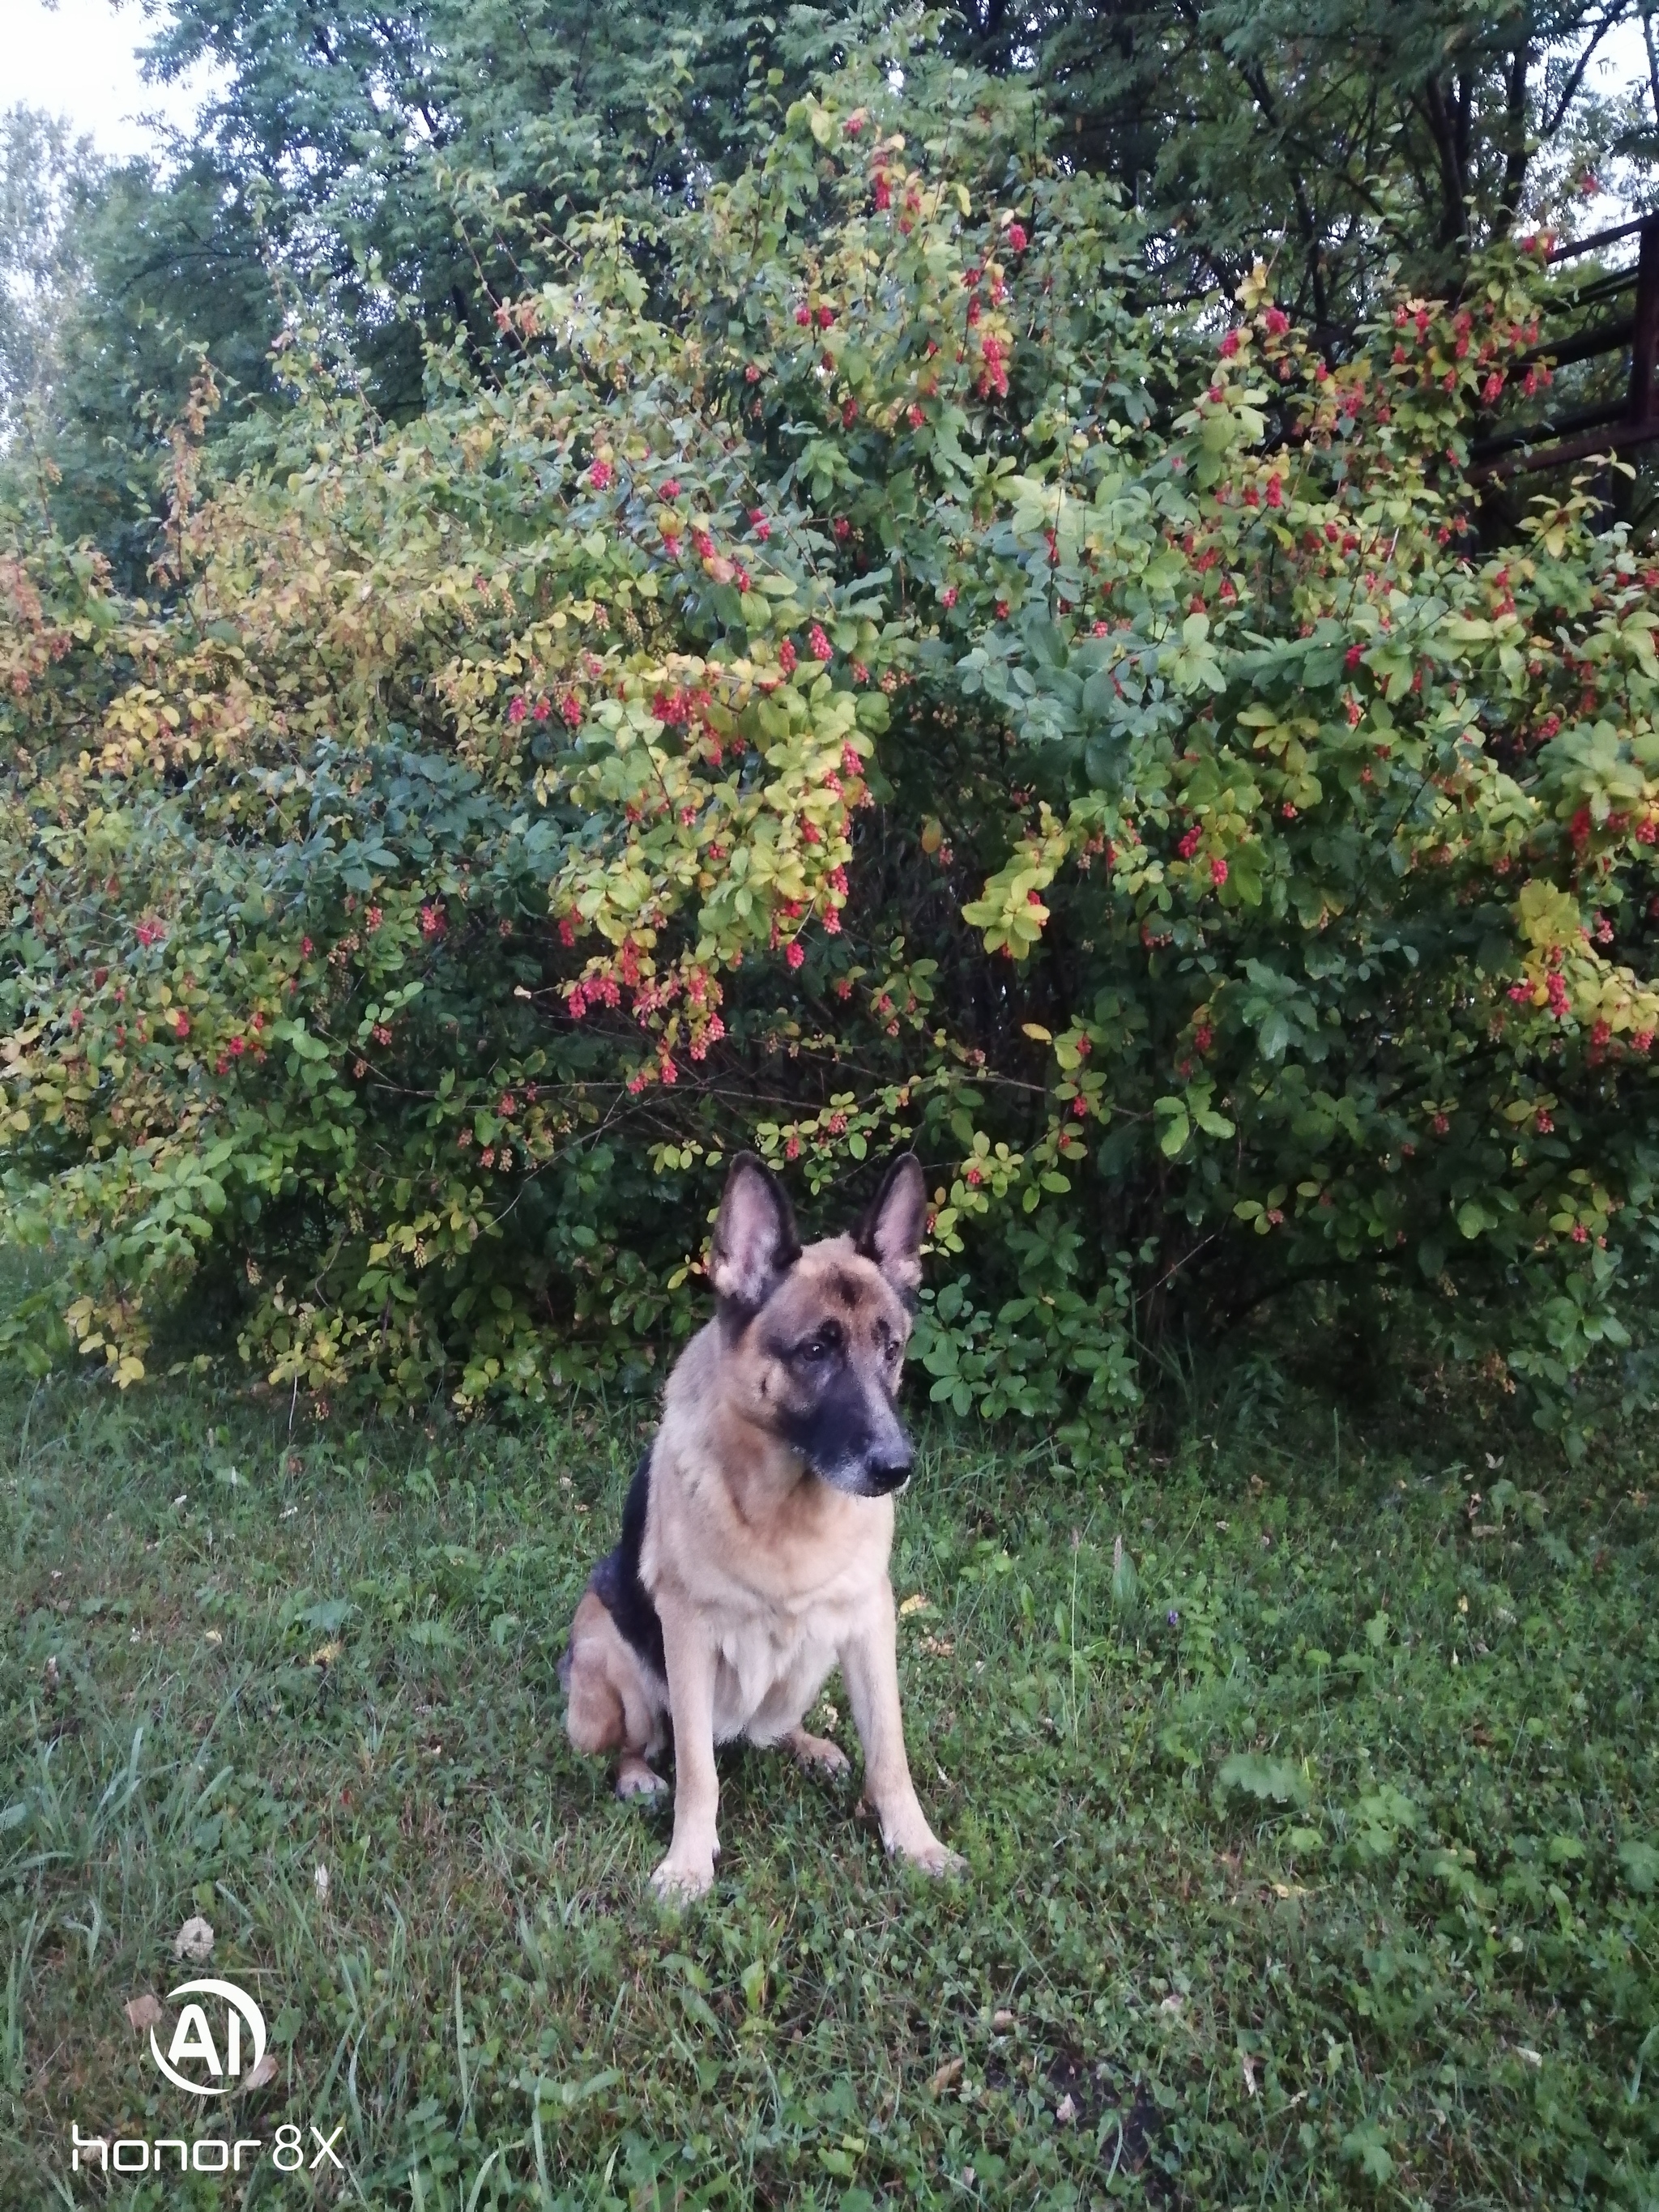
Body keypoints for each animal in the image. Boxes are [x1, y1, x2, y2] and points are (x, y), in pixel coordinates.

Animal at [566, 1150, 969, 1893]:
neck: (787, 1512)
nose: (896, 1466)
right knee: (645, 1744)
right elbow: (698, 1771)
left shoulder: (870, 1622)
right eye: (814, 1351)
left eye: (892, 1348)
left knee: (770, 1728)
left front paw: (916, 1843)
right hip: (612, 1655)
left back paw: (806, 1745)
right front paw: (689, 1862)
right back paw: (638, 1777)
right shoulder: (688, 1634)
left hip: (813, 1658)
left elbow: (891, 1754)